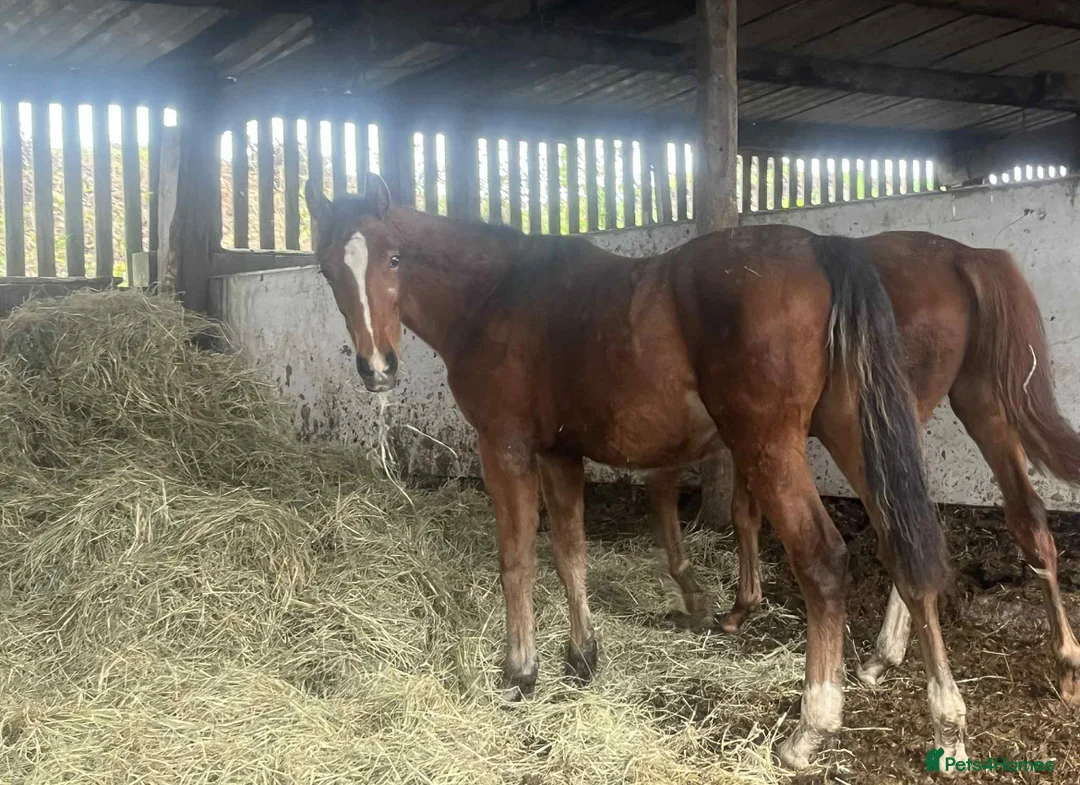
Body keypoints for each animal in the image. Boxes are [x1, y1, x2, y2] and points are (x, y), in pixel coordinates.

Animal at [304, 172, 965, 770]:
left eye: (394, 257)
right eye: (328, 270)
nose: (378, 368)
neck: (497, 294)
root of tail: (821, 249)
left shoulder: (505, 447)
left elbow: (517, 557)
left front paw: (520, 672)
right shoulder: (559, 454)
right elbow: (570, 550)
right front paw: (582, 657)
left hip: (770, 444)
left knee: (824, 561)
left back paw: (811, 729)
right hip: (854, 432)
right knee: (905, 544)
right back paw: (945, 717)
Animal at [645, 230, 1080, 706]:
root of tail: (963, 257)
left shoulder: (754, 436)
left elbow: (738, 511)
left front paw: (735, 608)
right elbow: (745, 512)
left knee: (905, 530)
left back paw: (886, 655)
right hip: (979, 404)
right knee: (1022, 516)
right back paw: (1065, 662)